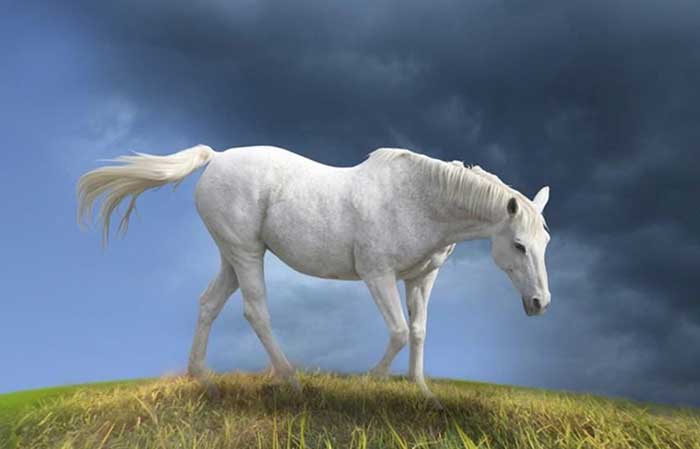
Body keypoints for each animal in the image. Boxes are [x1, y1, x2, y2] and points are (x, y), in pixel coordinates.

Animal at [77, 144, 551, 404]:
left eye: (545, 242)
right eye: (519, 245)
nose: (540, 304)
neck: (420, 200)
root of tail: (216, 158)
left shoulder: (420, 279)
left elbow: (418, 332)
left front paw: (423, 394)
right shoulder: (378, 275)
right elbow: (399, 331)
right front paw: (369, 383)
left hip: (231, 256)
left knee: (208, 304)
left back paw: (205, 382)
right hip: (246, 254)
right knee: (256, 312)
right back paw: (292, 383)